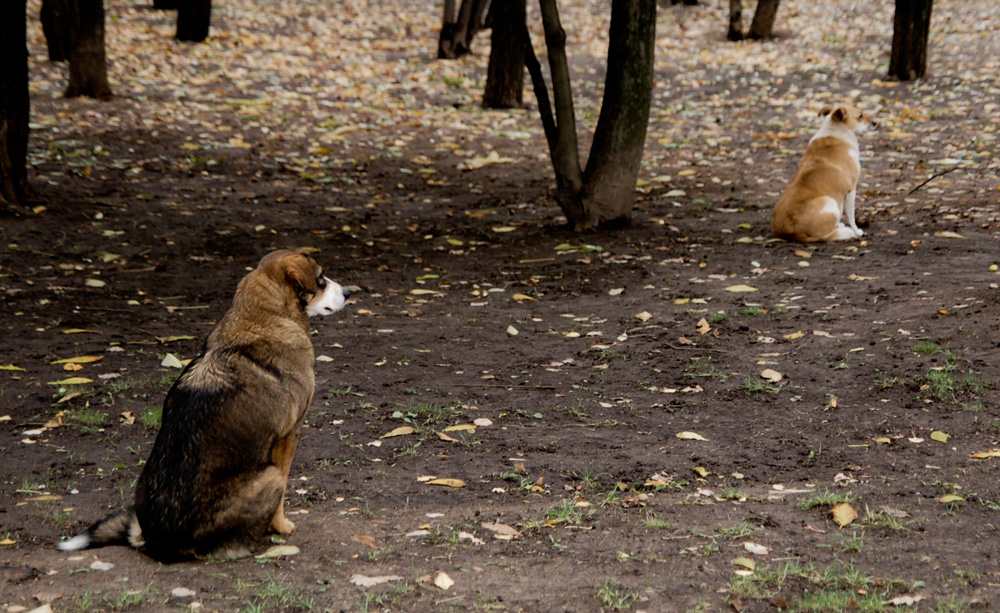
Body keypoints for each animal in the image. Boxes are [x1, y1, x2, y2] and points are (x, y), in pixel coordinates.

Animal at [58, 250, 350, 560]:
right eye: (321, 277)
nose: (348, 293)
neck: (263, 318)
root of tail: (158, 540)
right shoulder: (288, 437)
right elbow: (281, 501)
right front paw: (280, 527)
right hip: (270, 476)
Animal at [772, 105, 876, 241]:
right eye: (860, 116)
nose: (875, 123)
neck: (837, 131)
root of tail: (794, 233)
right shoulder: (851, 190)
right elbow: (851, 216)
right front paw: (857, 231)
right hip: (831, 202)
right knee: (827, 234)